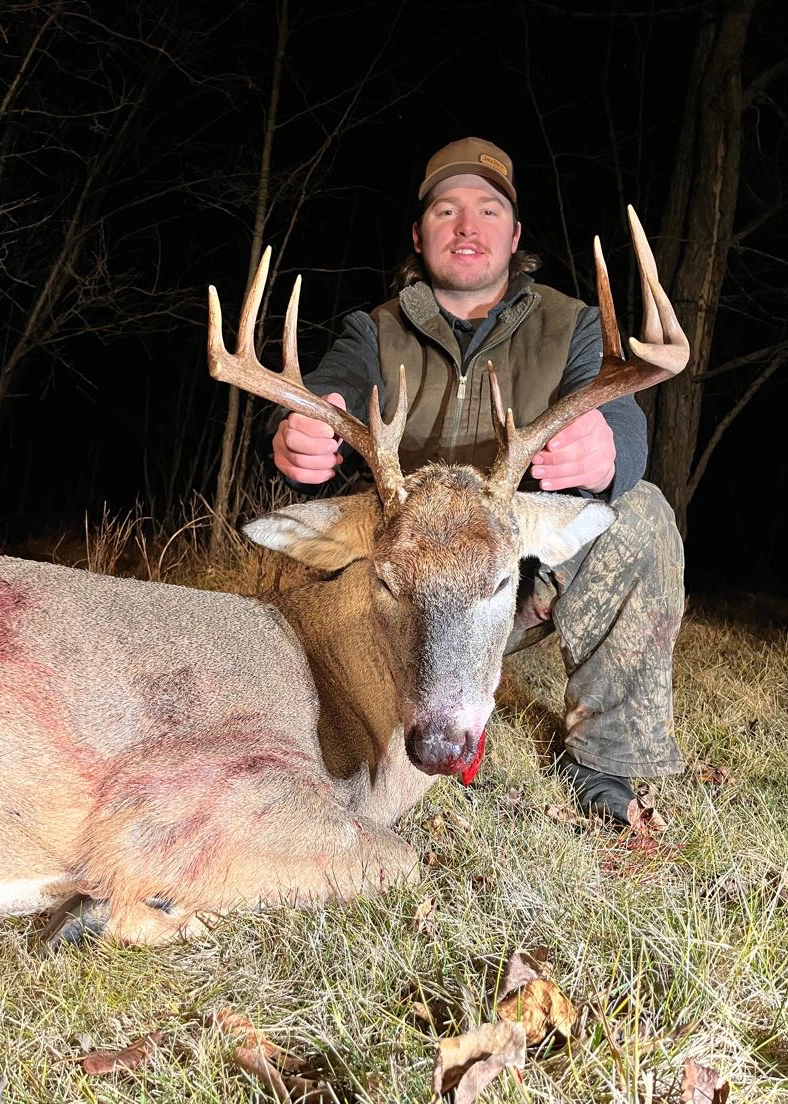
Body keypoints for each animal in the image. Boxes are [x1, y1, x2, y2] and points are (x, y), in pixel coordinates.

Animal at [0, 207, 688, 946]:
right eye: (385, 578)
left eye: (505, 580)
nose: (441, 744)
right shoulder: (183, 791)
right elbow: (402, 858)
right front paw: (96, 911)